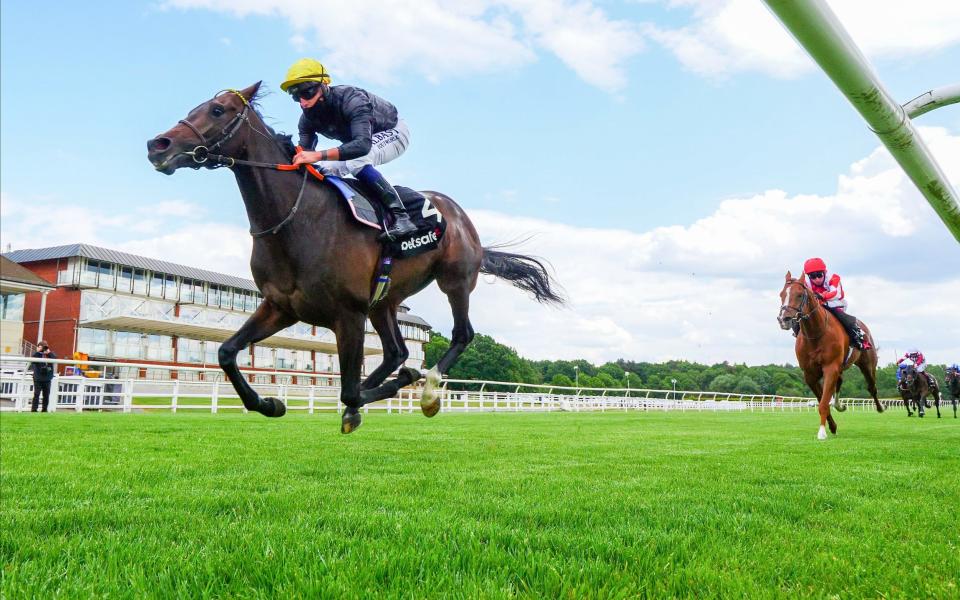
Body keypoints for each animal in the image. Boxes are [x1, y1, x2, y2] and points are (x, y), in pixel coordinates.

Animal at [143, 83, 564, 432]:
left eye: (218, 110)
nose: (158, 145)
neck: (297, 218)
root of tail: (460, 218)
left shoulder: (348, 312)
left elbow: (348, 390)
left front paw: (372, 397)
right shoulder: (282, 307)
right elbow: (227, 352)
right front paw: (270, 403)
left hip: (455, 280)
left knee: (461, 334)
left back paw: (427, 388)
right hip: (385, 300)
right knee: (396, 352)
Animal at [776, 270, 880, 438]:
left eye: (799, 295)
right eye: (781, 294)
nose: (783, 319)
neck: (816, 334)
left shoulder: (830, 367)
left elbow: (824, 402)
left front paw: (822, 432)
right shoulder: (810, 374)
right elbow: (821, 400)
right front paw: (832, 426)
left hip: (867, 364)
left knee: (872, 386)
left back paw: (880, 407)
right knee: (840, 381)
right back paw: (839, 405)